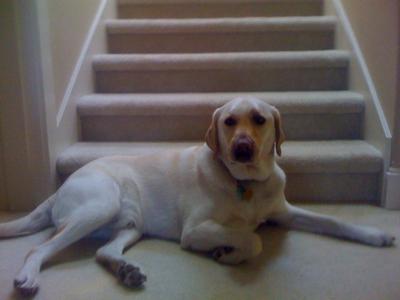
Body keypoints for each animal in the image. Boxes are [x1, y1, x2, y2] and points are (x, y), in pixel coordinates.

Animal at [0, 96, 394, 296]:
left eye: (259, 119)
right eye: (229, 122)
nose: (243, 148)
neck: (247, 183)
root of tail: (59, 189)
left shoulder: (283, 212)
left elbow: (332, 221)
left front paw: (376, 234)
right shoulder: (196, 228)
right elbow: (253, 239)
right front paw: (228, 252)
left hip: (130, 225)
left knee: (102, 251)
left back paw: (127, 270)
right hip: (101, 203)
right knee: (38, 249)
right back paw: (29, 277)